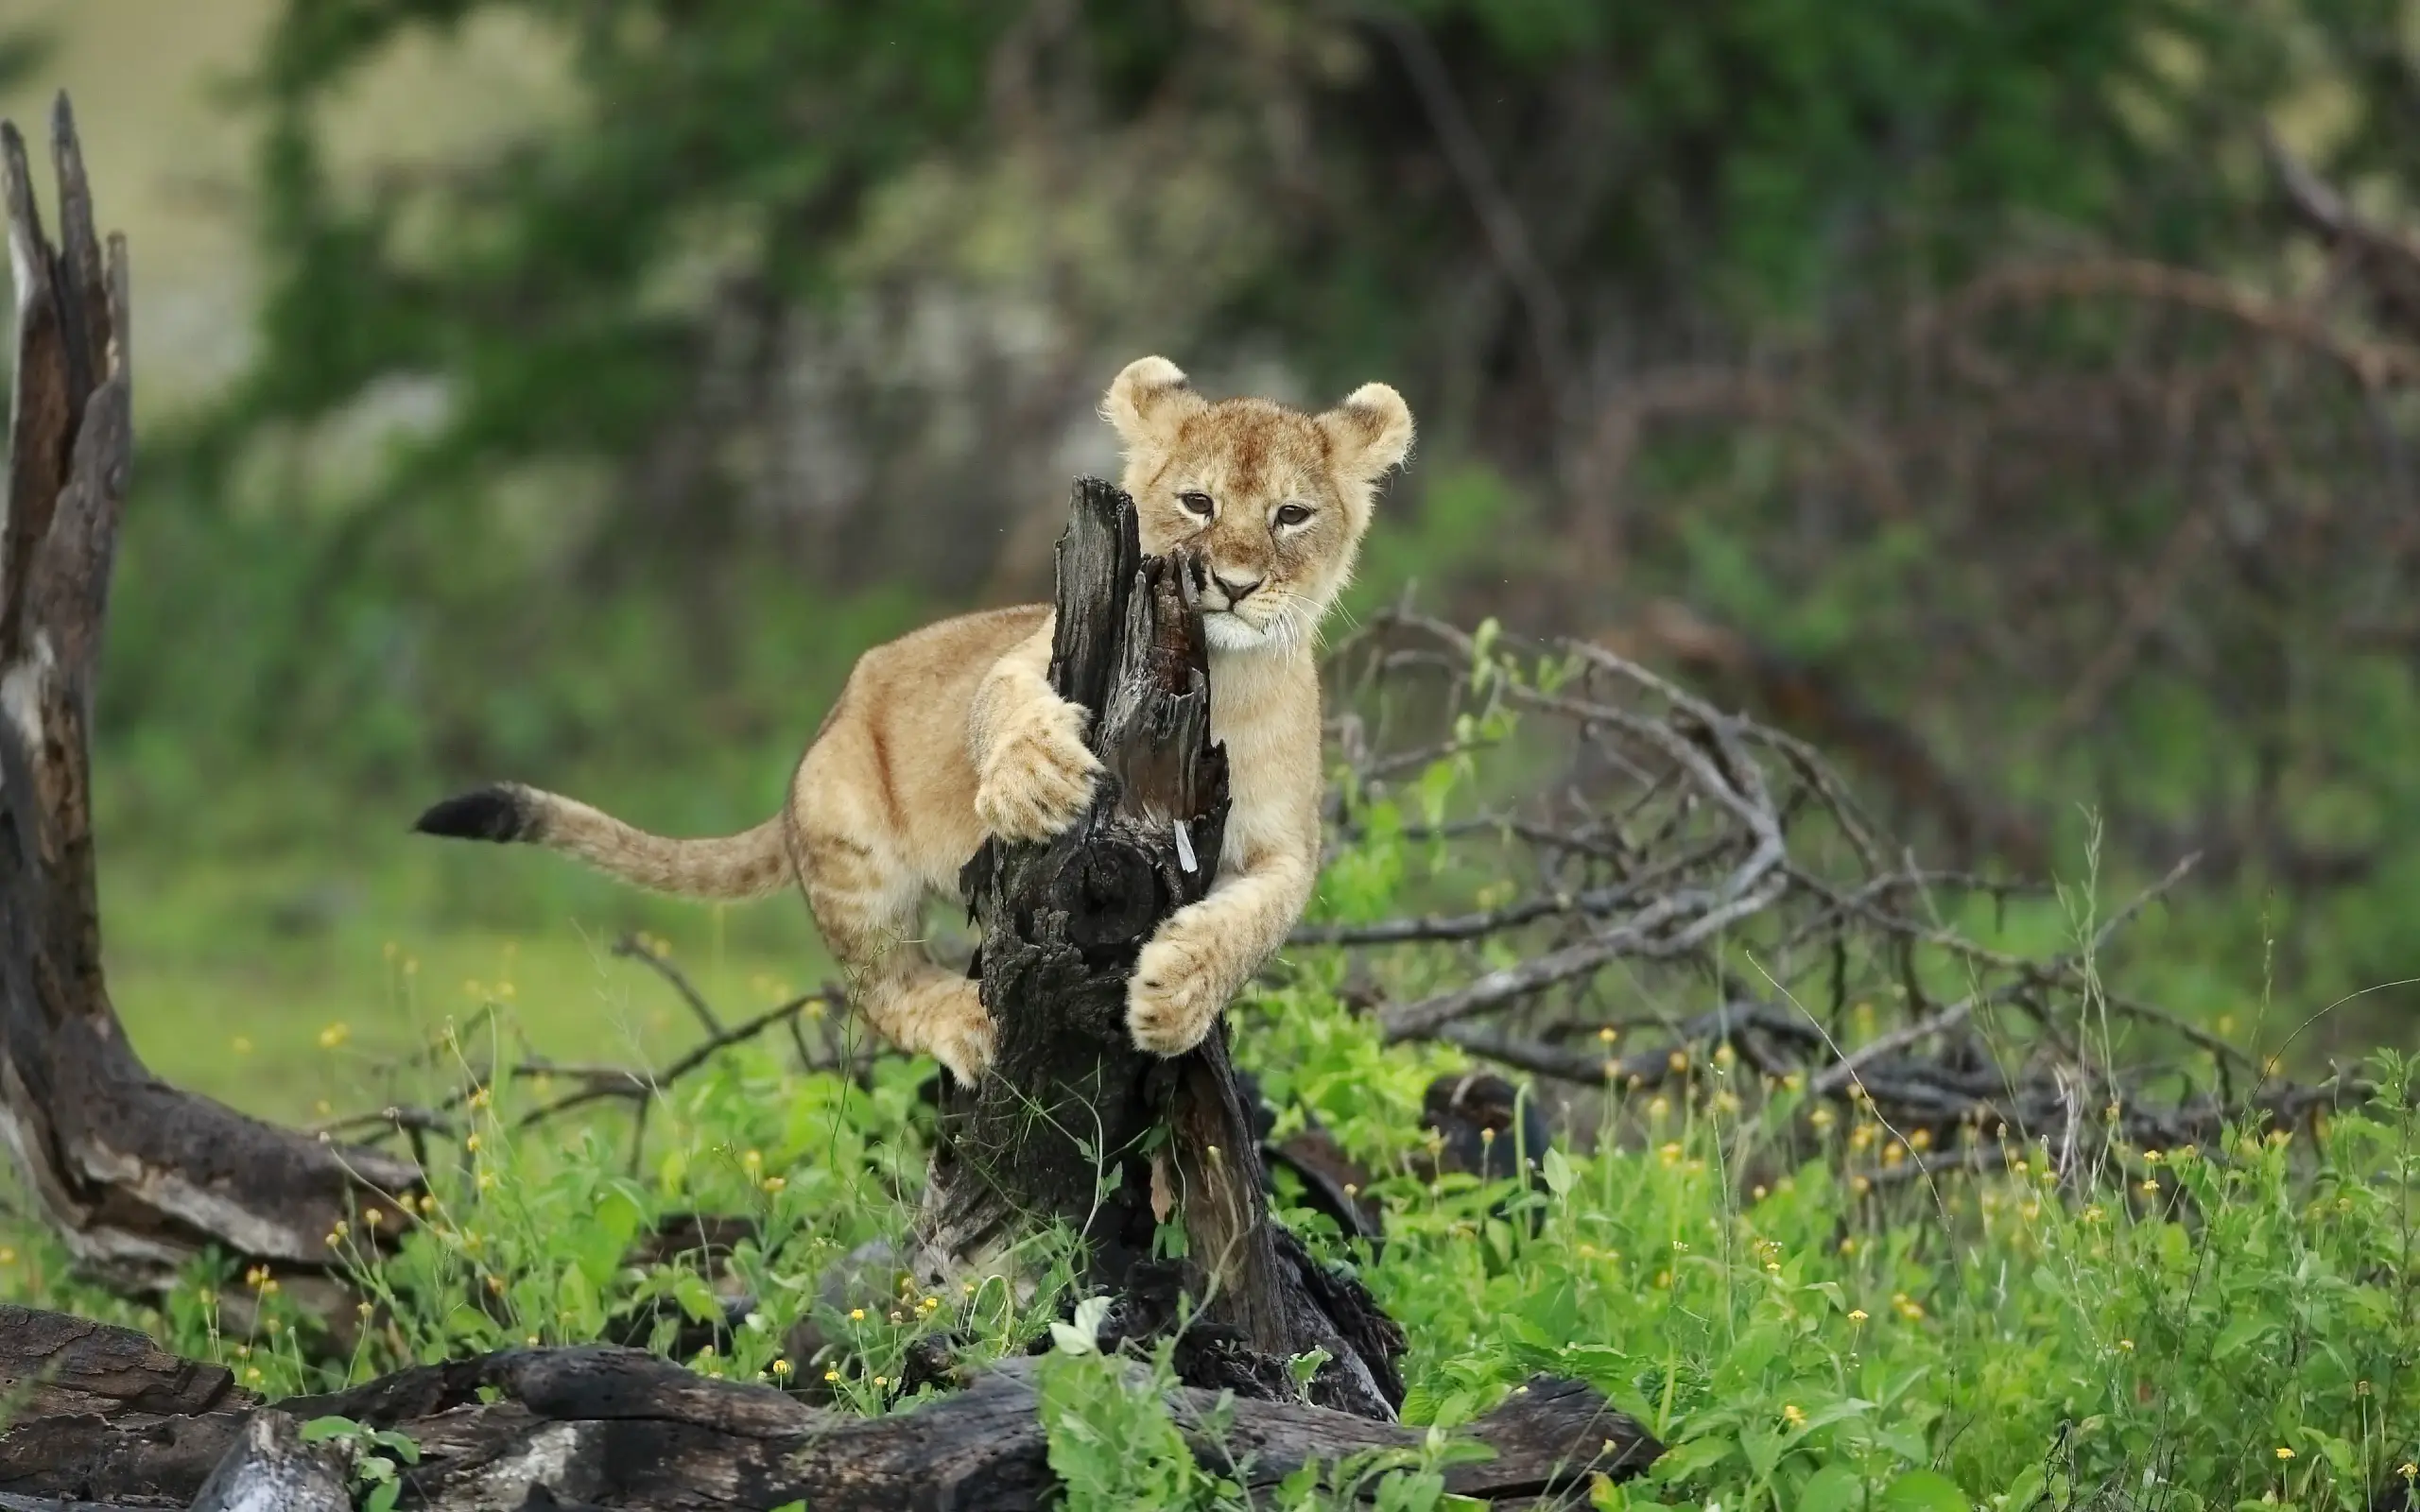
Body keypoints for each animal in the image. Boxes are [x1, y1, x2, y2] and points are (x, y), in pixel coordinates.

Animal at [413, 357, 1414, 1083]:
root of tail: (809, 752)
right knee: (878, 992)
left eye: (1291, 516)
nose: (1235, 585)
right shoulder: (1026, 653)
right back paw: (961, 1020)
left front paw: (1172, 1003)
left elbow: (1255, 924)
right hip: (847, 836)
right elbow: (1000, 702)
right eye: (1198, 502)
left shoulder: (1289, 844)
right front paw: (1034, 781)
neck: (1225, 677)